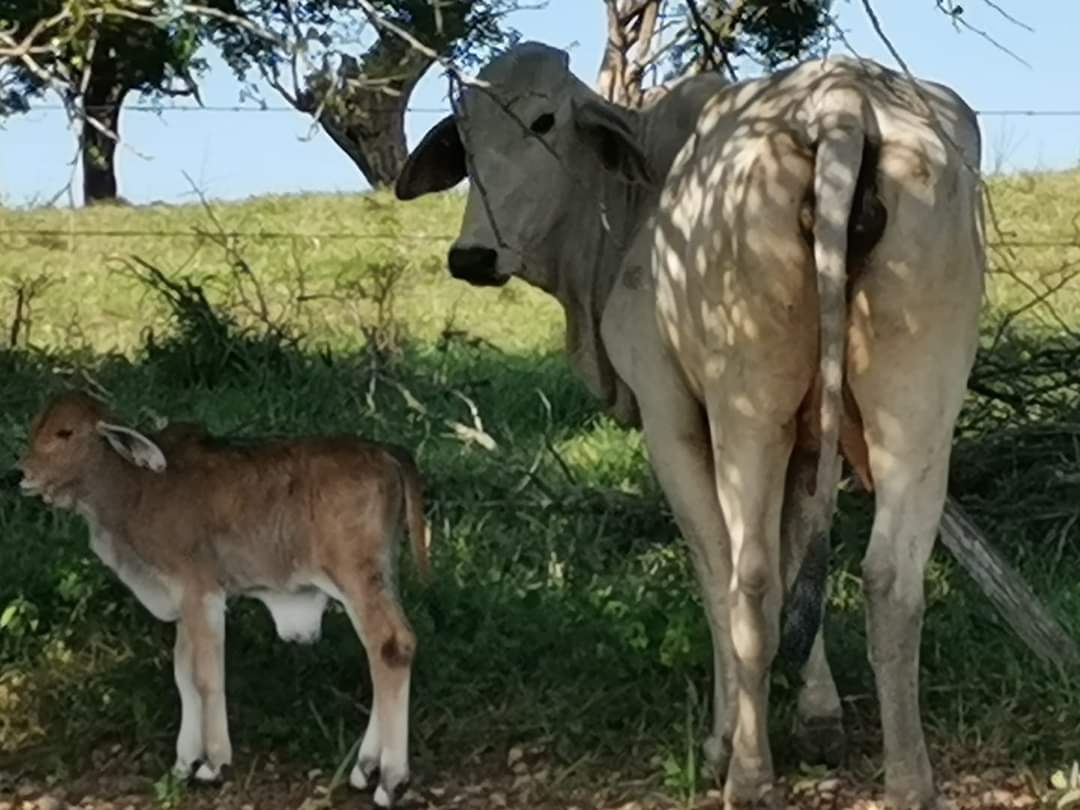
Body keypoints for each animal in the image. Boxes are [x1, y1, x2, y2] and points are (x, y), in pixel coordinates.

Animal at [397, 44, 989, 810]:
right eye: (464, 140)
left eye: (544, 121)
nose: (471, 256)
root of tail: (840, 102)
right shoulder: (809, 438)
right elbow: (800, 557)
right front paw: (818, 718)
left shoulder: (669, 414)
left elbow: (719, 575)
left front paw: (723, 739)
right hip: (917, 408)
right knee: (889, 578)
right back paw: (910, 781)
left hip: (747, 409)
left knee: (751, 581)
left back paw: (748, 775)